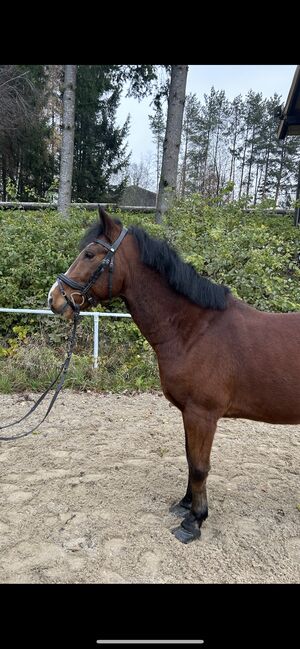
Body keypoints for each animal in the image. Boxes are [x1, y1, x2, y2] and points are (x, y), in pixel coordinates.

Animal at [48, 209, 298, 540]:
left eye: (89, 254)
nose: (54, 299)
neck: (195, 330)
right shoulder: (189, 413)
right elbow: (191, 458)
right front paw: (186, 505)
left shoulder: (202, 415)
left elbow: (200, 466)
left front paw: (194, 521)